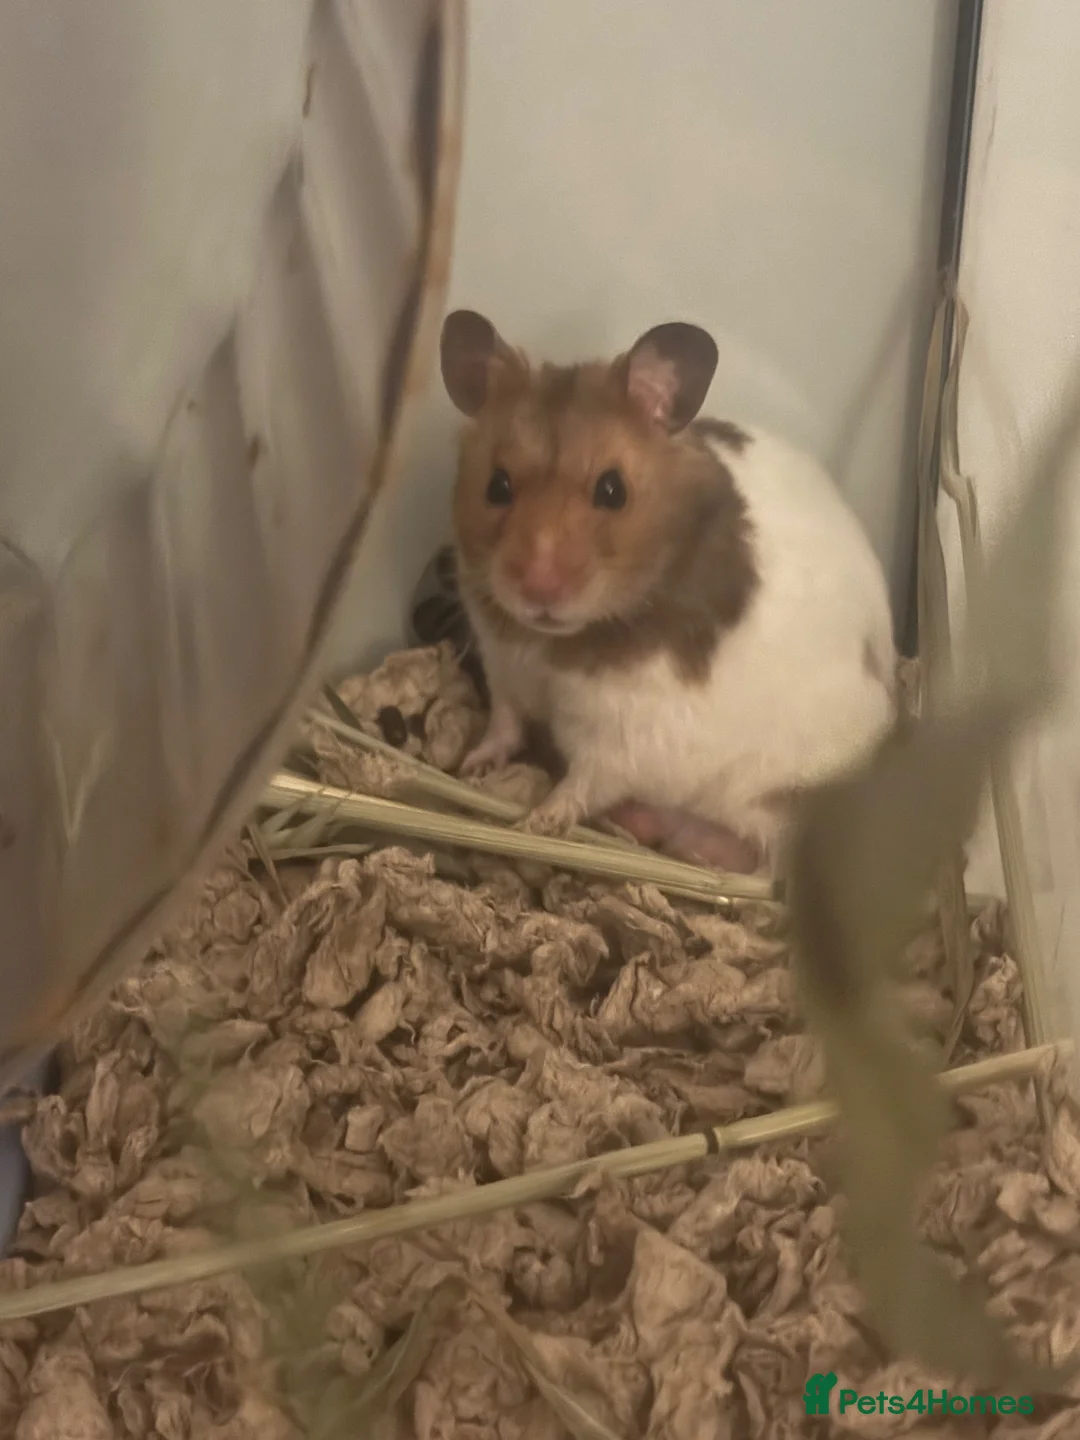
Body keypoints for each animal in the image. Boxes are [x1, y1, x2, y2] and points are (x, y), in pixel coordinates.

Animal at [438, 309, 898, 877]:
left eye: (613, 490)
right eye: (496, 486)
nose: (539, 588)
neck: (552, 644)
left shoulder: (622, 741)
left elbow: (580, 784)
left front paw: (532, 825)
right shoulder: (503, 668)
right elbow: (504, 724)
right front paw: (471, 766)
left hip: (778, 804)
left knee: (765, 867)